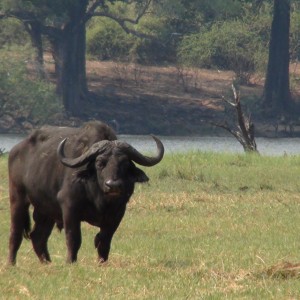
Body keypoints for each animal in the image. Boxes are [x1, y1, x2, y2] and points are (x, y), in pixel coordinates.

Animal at [8, 120, 164, 264]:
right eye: (100, 163)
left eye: (125, 163)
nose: (113, 185)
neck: (99, 199)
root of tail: (15, 150)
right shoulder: (69, 208)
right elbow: (74, 238)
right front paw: (70, 262)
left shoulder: (118, 213)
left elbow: (104, 241)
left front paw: (102, 262)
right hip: (17, 198)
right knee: (16, 233)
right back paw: (11, 263)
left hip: (45, 210)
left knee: (38, 236)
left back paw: (47, 262)